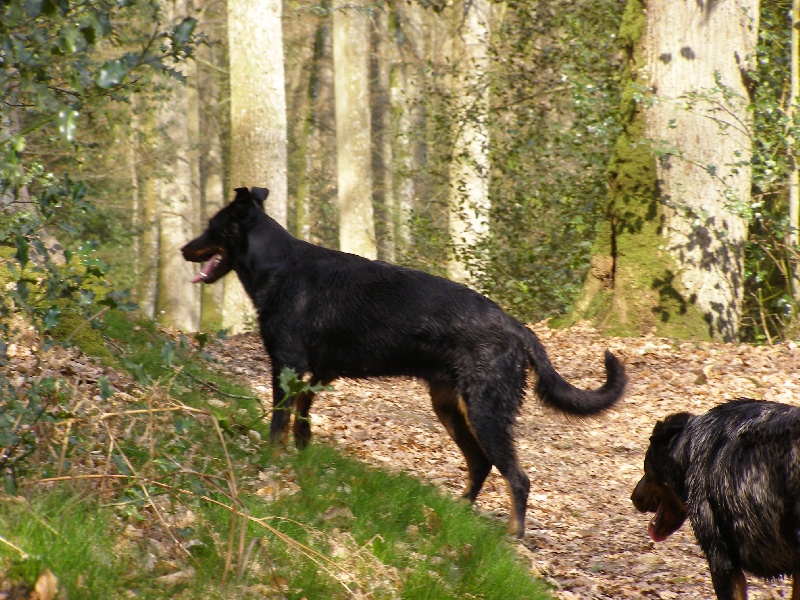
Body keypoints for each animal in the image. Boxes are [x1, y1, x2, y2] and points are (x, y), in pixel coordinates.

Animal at [184, 185, 628, 536]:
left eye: (212, 225)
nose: (183, 249)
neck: (279, 267)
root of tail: (520, 330)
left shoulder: (287, 367)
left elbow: (278, 427)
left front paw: (271, 469)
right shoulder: (313, 376)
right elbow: (301, 425)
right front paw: (303, 461)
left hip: (485, 413)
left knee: (517, 477)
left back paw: (512, 535)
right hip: (451, 408)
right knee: (481, 464)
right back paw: (459, 511)